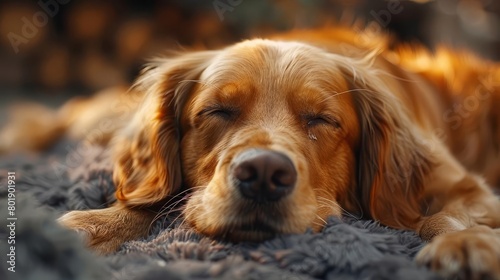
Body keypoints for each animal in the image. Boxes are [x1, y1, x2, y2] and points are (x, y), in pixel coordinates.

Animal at [2, 26, 500, 280]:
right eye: (218, 111)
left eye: (321, 120)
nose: (263, 173)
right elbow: (155, 200)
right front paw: (93, 224)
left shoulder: (462, 184)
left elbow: (446, 214)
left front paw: (466, 242)